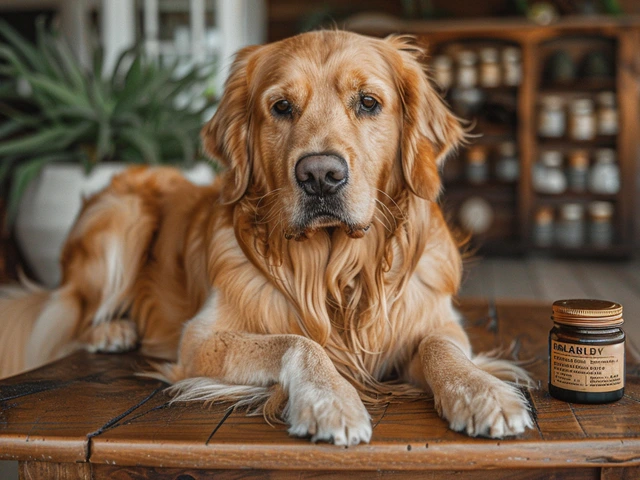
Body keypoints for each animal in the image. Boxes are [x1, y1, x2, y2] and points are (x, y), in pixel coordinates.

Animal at [0, 30, 528, 444]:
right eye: (281, 107)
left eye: (368, 103)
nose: (320, 176)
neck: (335, 271)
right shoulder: (200, 340)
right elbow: (298, 342)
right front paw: (331, 400)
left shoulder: (437, 320)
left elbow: (443, 348)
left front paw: (483, 392)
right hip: (121, 217)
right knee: (72, 311)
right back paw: (112, 329)